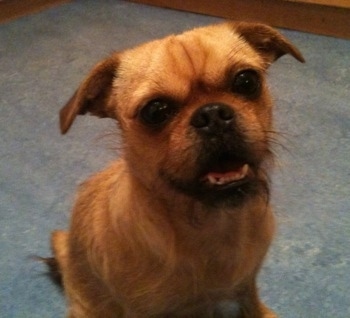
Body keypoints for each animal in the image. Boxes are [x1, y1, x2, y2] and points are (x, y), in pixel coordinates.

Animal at [49, 21, 304, 316]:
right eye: (155, 111)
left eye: (246, 81)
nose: (212, 114)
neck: (212, 222)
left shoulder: (247, 280)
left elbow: (249, 298)